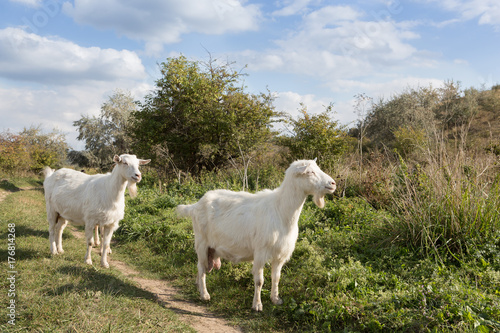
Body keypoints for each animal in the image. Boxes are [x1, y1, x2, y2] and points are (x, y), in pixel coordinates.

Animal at [176, 160, 336, 310]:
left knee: (201, 267)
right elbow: (259, 280)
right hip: (201, 242)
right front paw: (257, 305)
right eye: (309, 172)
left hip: (211, 248)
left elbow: (276, 278)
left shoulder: (280, 254)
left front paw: (275, 299)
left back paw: (198, 286)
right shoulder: (260, 251)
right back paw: (204, 294)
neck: (281, 210)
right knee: (201, 267)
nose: (333, 184)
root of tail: (195, 206)